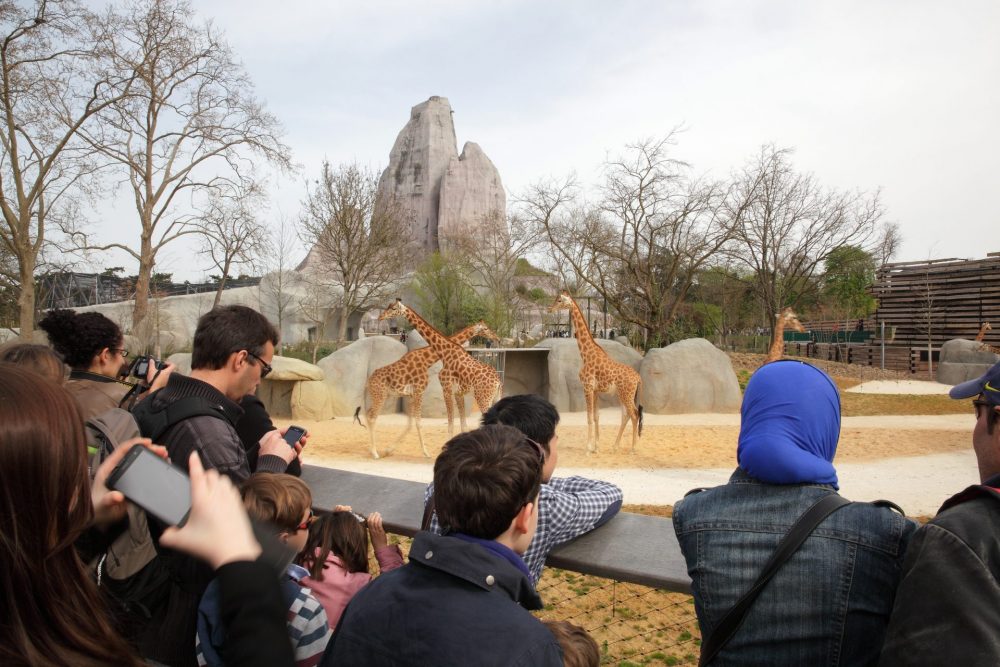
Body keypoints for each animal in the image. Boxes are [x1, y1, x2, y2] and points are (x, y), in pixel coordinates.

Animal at [358, 320, 500, 460]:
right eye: (485, 329)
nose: (496, 338)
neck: (428, 358)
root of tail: (368, 381)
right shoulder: (419, 392)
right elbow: (418, 423)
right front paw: (426, 453)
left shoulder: (411, 395)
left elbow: (411, 423)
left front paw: (389, 450)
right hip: (380, 395)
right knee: (372, 416)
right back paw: (375, 453)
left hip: (384, 395)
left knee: (368, 414)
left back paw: (374, 450)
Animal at [378, 300, 504, 436]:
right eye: (485, 328)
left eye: (393, 308)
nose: (380, 317)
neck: (444, 352)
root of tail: (498, 382)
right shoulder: (458, 393)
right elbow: (462, 426)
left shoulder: (447, 389)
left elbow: (451, 426)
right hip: (494, 399)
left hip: (484, 399)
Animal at [548, 290, 640, 454]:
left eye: (559, 300)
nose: (549, 309)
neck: (585, 354)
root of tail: (639, 378)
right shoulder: (596, 390)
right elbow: (596, 416)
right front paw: (596, 447)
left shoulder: (588, 387)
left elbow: (589, 417)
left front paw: (587, 448)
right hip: (622, 394)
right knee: (626, 415)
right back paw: (615, 446)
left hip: (627, 395)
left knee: (634, 415)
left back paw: (633, 449)